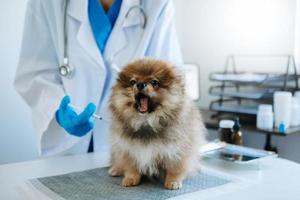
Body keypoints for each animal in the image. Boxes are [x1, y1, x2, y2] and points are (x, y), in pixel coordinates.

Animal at [108, 58, 206, 189]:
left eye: (154, 82)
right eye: (133, 82)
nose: (140, 84)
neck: (146, 121)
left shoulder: (177, 149)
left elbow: (175, 168)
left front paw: (173, 181)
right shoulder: (128, 148)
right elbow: (131, 167)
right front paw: (130, 178)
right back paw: (115, 169)